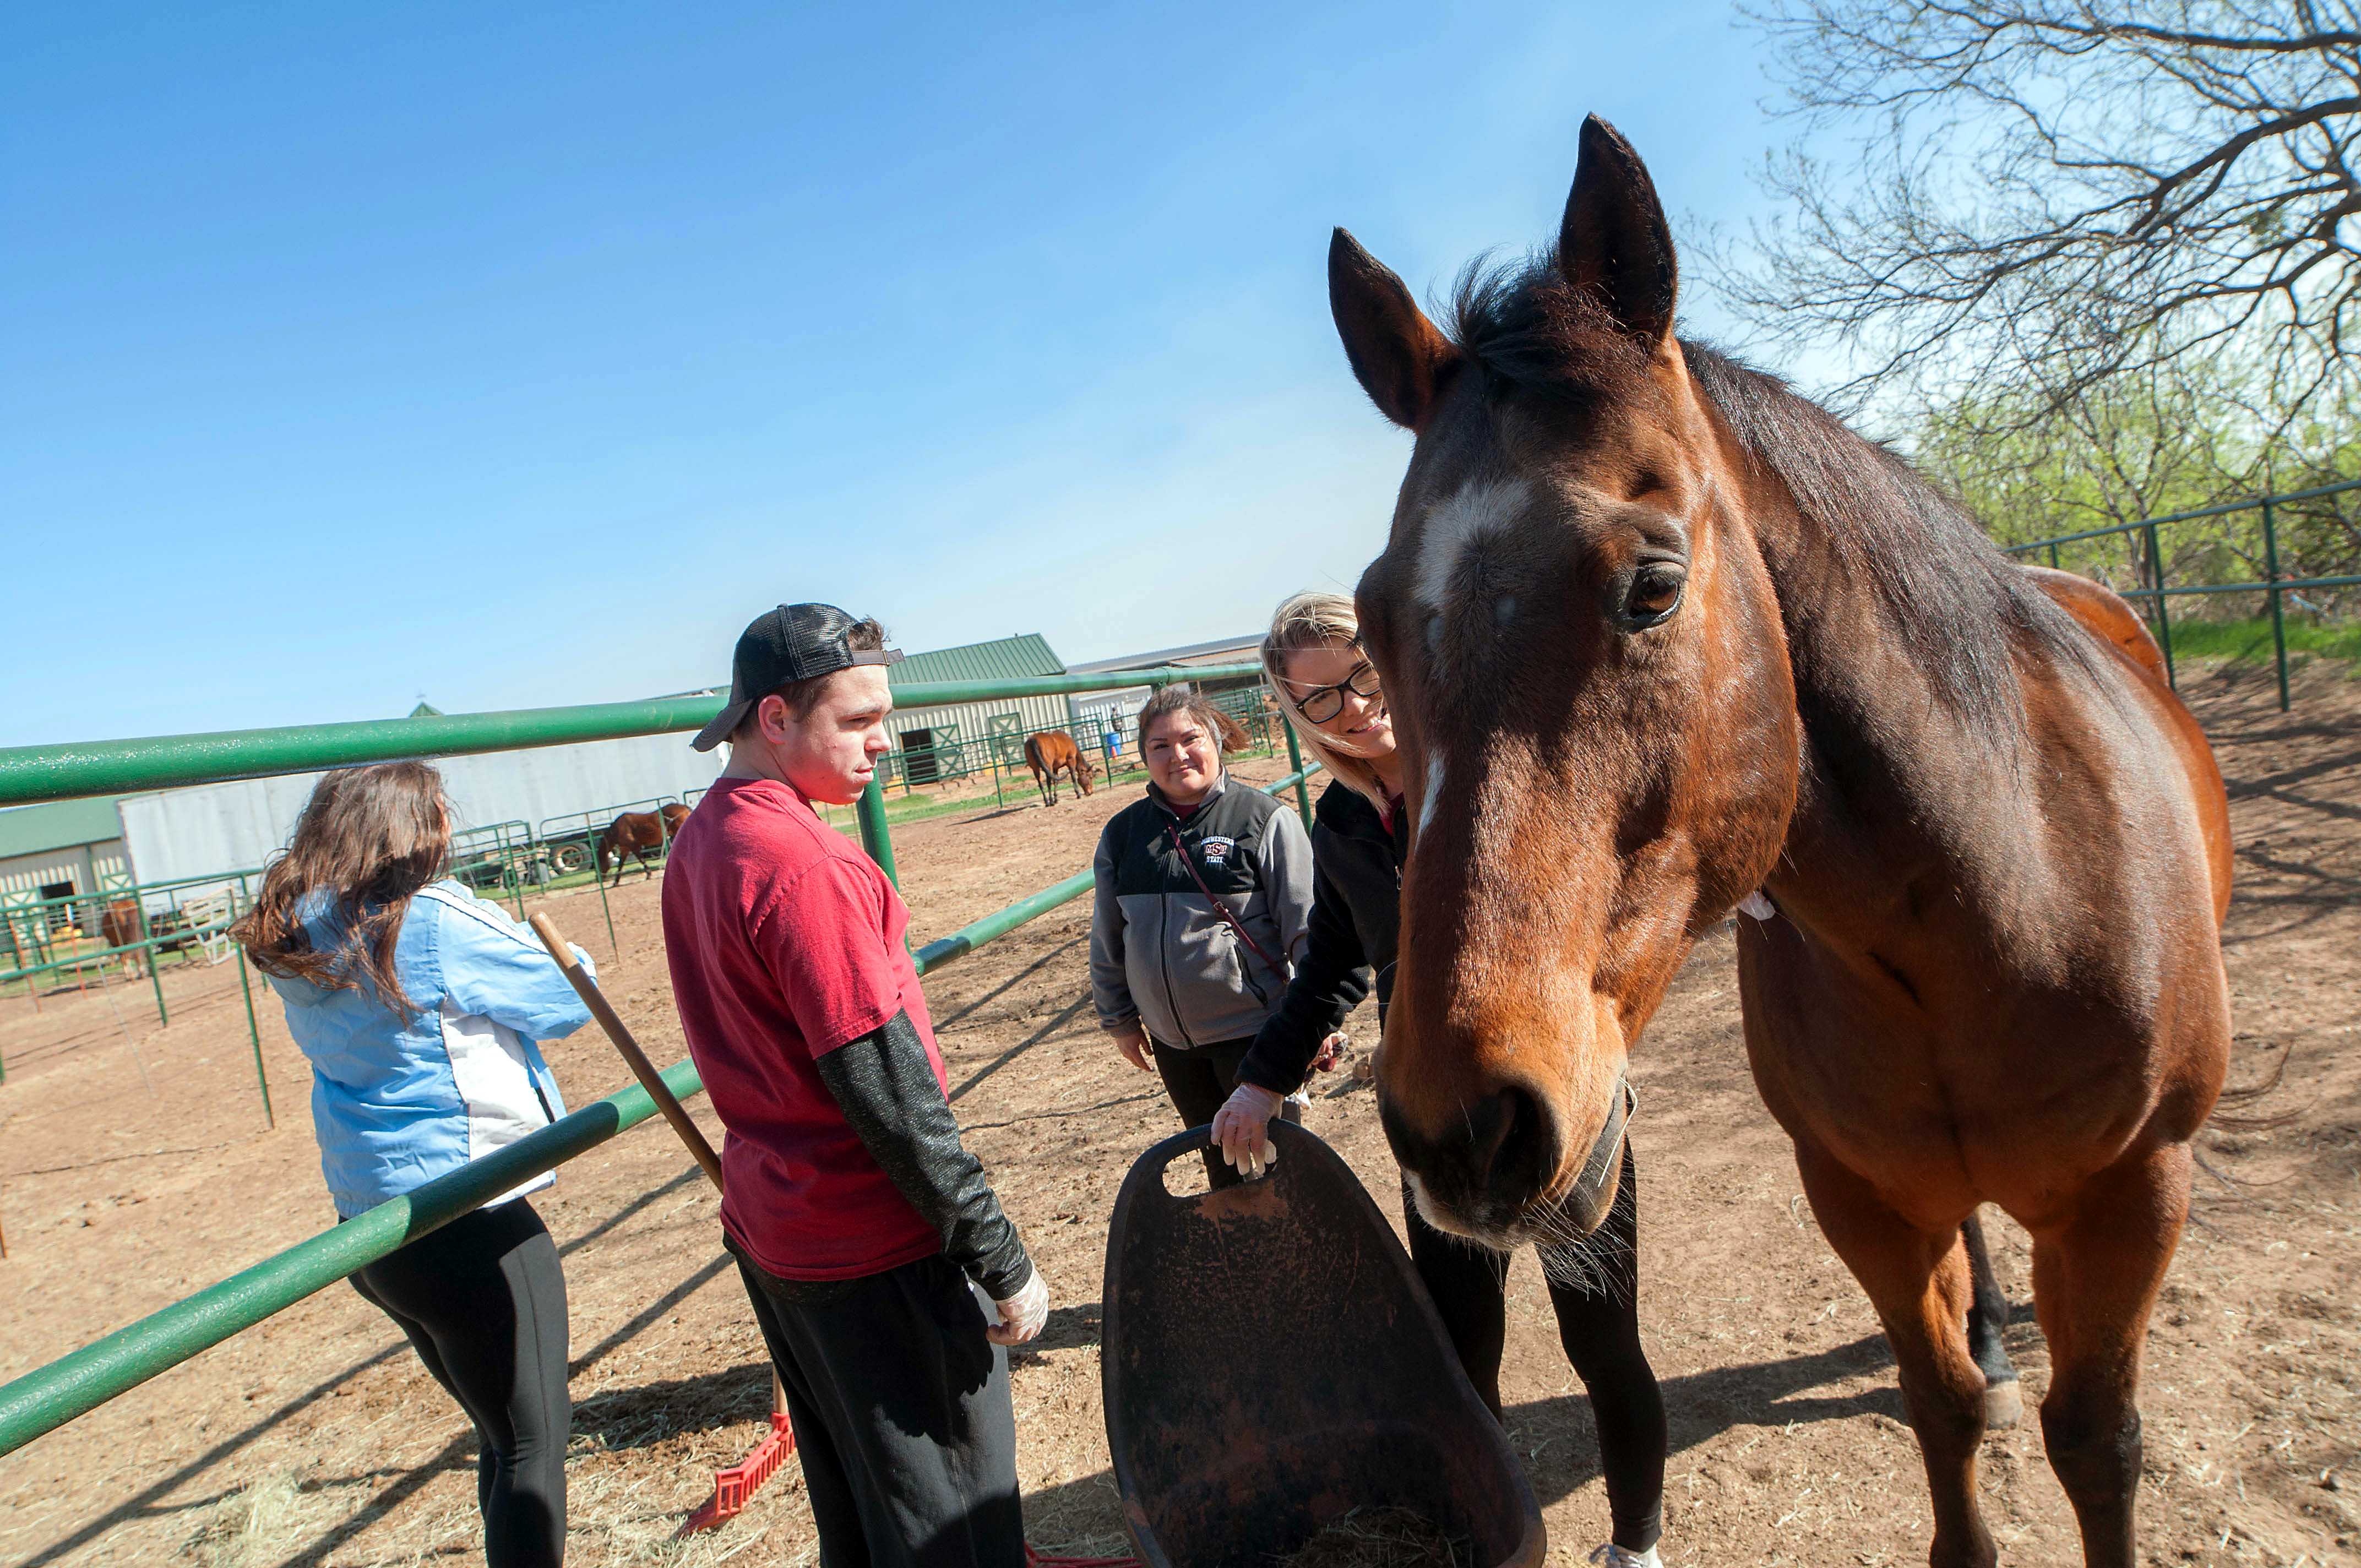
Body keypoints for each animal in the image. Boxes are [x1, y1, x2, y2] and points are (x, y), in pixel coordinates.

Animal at [600, 803, 689, 888]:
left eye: (600, 862)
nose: (599, 878)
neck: (618, 829)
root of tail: (685, 808)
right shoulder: (625, 849)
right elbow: (620, 865)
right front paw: (616, 882)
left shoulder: (634, 847)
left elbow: (642, 860)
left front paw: (649, 874)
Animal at [1024, 732, 1095, 807]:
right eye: (1091, 777)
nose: (1091, 792)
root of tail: (1033, 740)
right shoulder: (1071, 760)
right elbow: (1073, 777)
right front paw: (1078, 794)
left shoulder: (1055, 767)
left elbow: (1056, 781)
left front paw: (1056, 799)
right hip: (1048, 766)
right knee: (1048, 782)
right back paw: (1051, 802)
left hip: (1035, 768)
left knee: (1041, 784)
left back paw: (1047, 802)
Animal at [1331, 116, 2228, 1558]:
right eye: (1366, 617)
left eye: (1651, 583)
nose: (1461, 1126)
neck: (1997, 906)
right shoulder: (1857, 1196)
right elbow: (1941, 1404)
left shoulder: (2134, 1197)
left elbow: (2096, 1443)